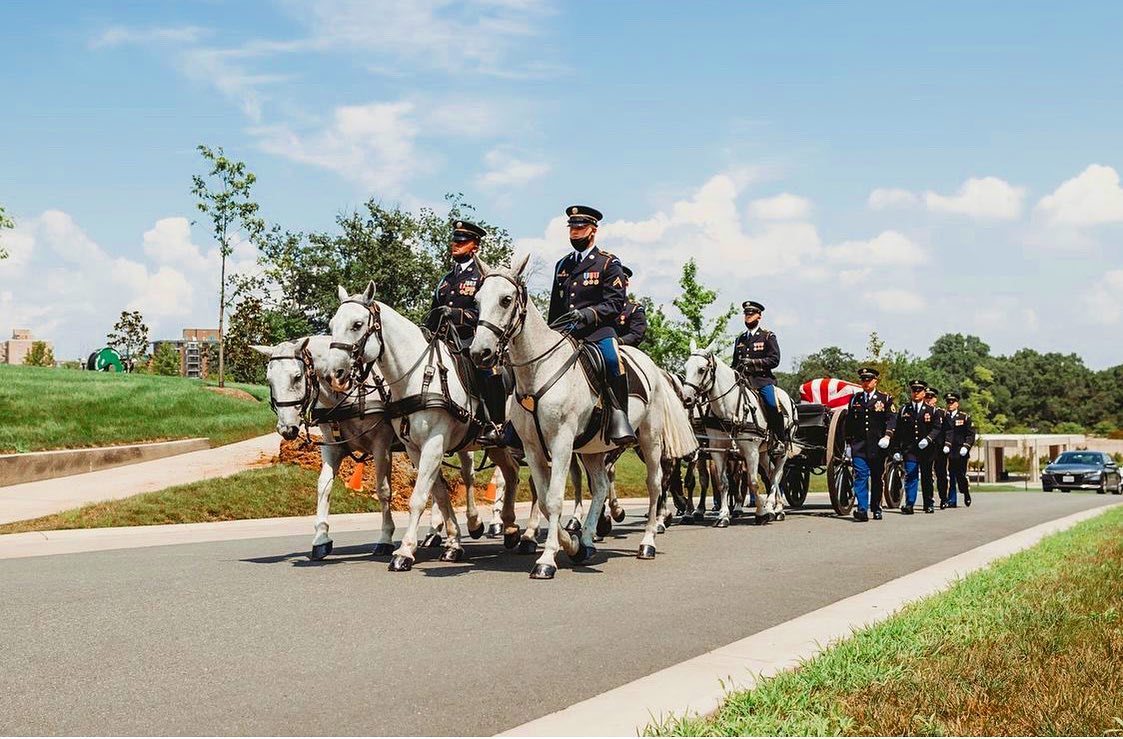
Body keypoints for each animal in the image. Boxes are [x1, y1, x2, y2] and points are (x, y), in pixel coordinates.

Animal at [321, 281, 521, 570]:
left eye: (357, 324)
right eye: (332, 324)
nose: (333, 374)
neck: (416, 377)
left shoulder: (434, 444)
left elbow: (418, 498)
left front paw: (404, 551)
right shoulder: (415, 448)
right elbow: (439, 493)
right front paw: (453, 544)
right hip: (496, 445)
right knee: (511, 473)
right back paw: (509, 528)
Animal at [464, 256, 691, 579]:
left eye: (506, 300)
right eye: (477, 300)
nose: (479, 353)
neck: (539, 370)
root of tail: (655, 368)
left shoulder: (560, 443)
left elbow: (554, 498)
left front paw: (547, 559)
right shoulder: (533, 449)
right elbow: (544, 499)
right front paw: (570, 544)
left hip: (649, 441)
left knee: (654, 484)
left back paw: (647, 542)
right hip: (593, 449)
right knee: (601, 486)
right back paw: (586, 541)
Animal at [673, 339, 799, 523]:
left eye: (701, 369)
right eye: (686, 367)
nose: (687, 398)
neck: (729, 408)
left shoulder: (750, 450)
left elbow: (752, 481)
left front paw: (760, 513)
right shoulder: (716, 450)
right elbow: (721, 482)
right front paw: (723, 515)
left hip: (780, 451)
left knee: (777, 475)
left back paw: (773, 507)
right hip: (763, 452)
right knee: (770, 474)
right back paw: (774, 507)